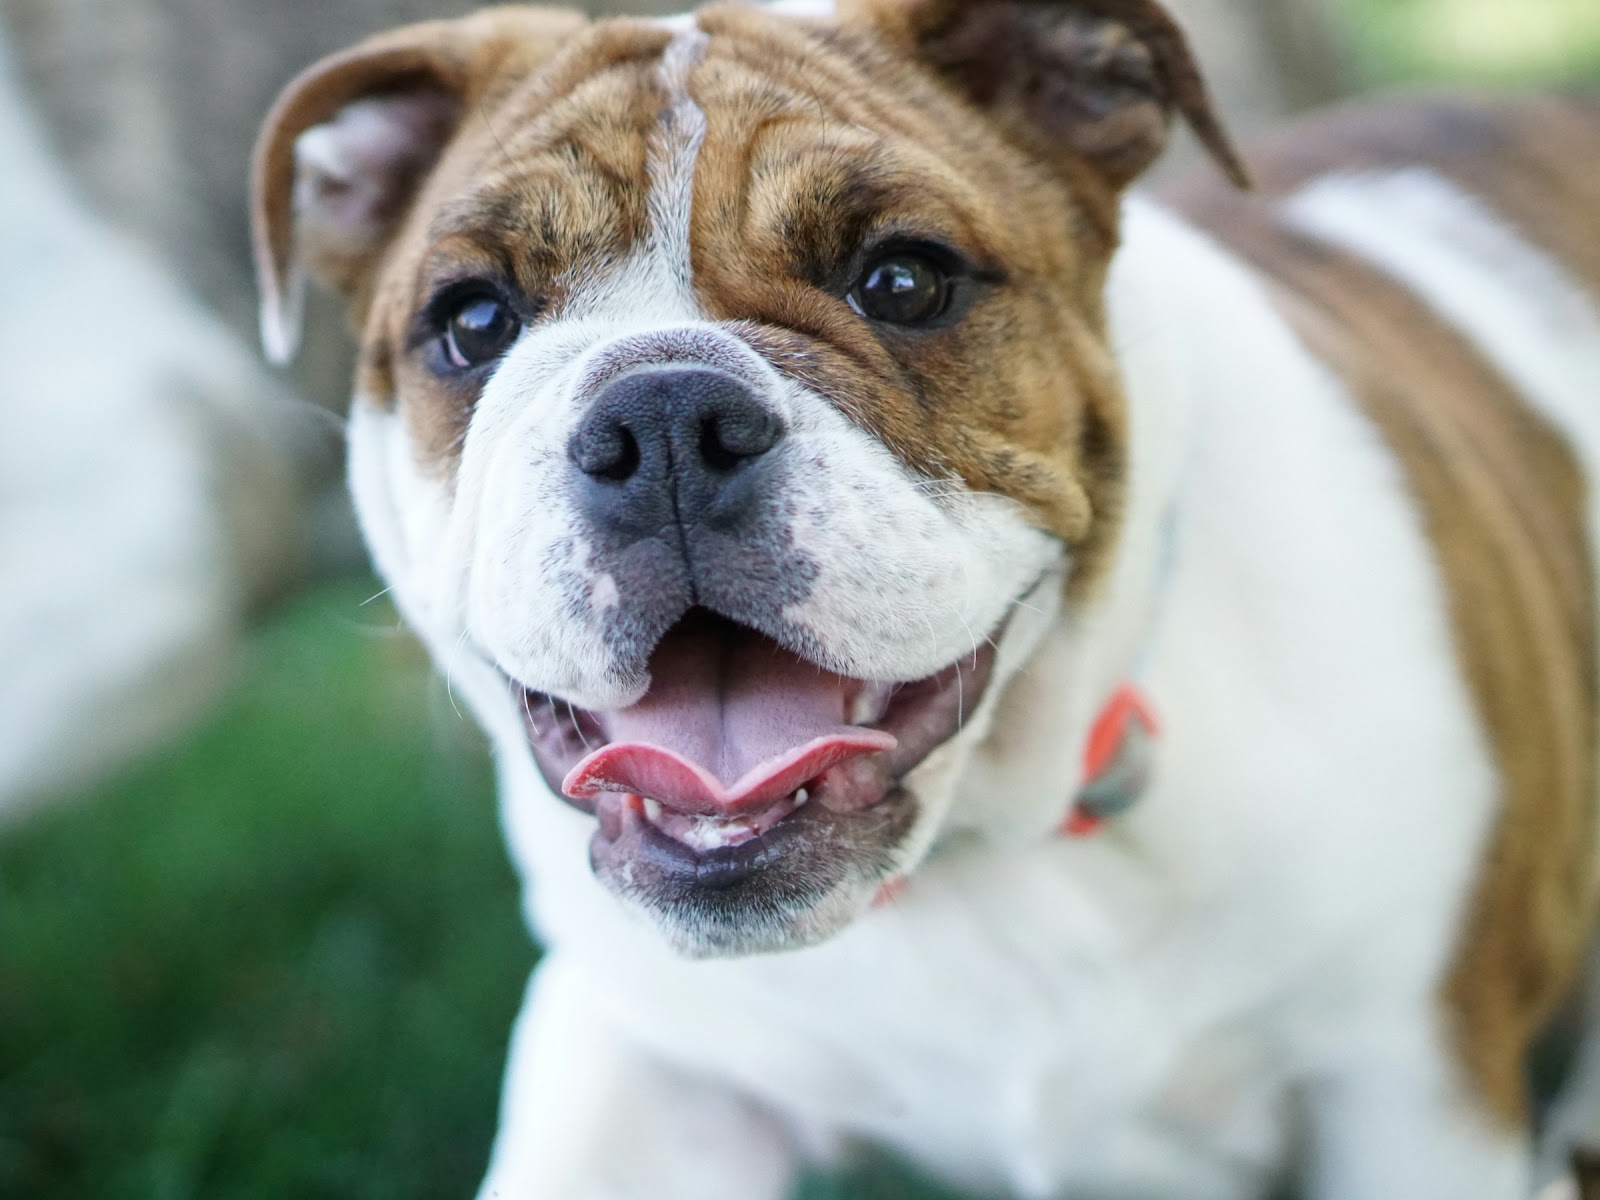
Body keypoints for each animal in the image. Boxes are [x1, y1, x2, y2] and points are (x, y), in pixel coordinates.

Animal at [246, 0, 1600, 1196]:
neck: (979, 853)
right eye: (473, 320)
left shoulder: (1416, 1092)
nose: (664, 419)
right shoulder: (645, 1060)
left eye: (902, 282)